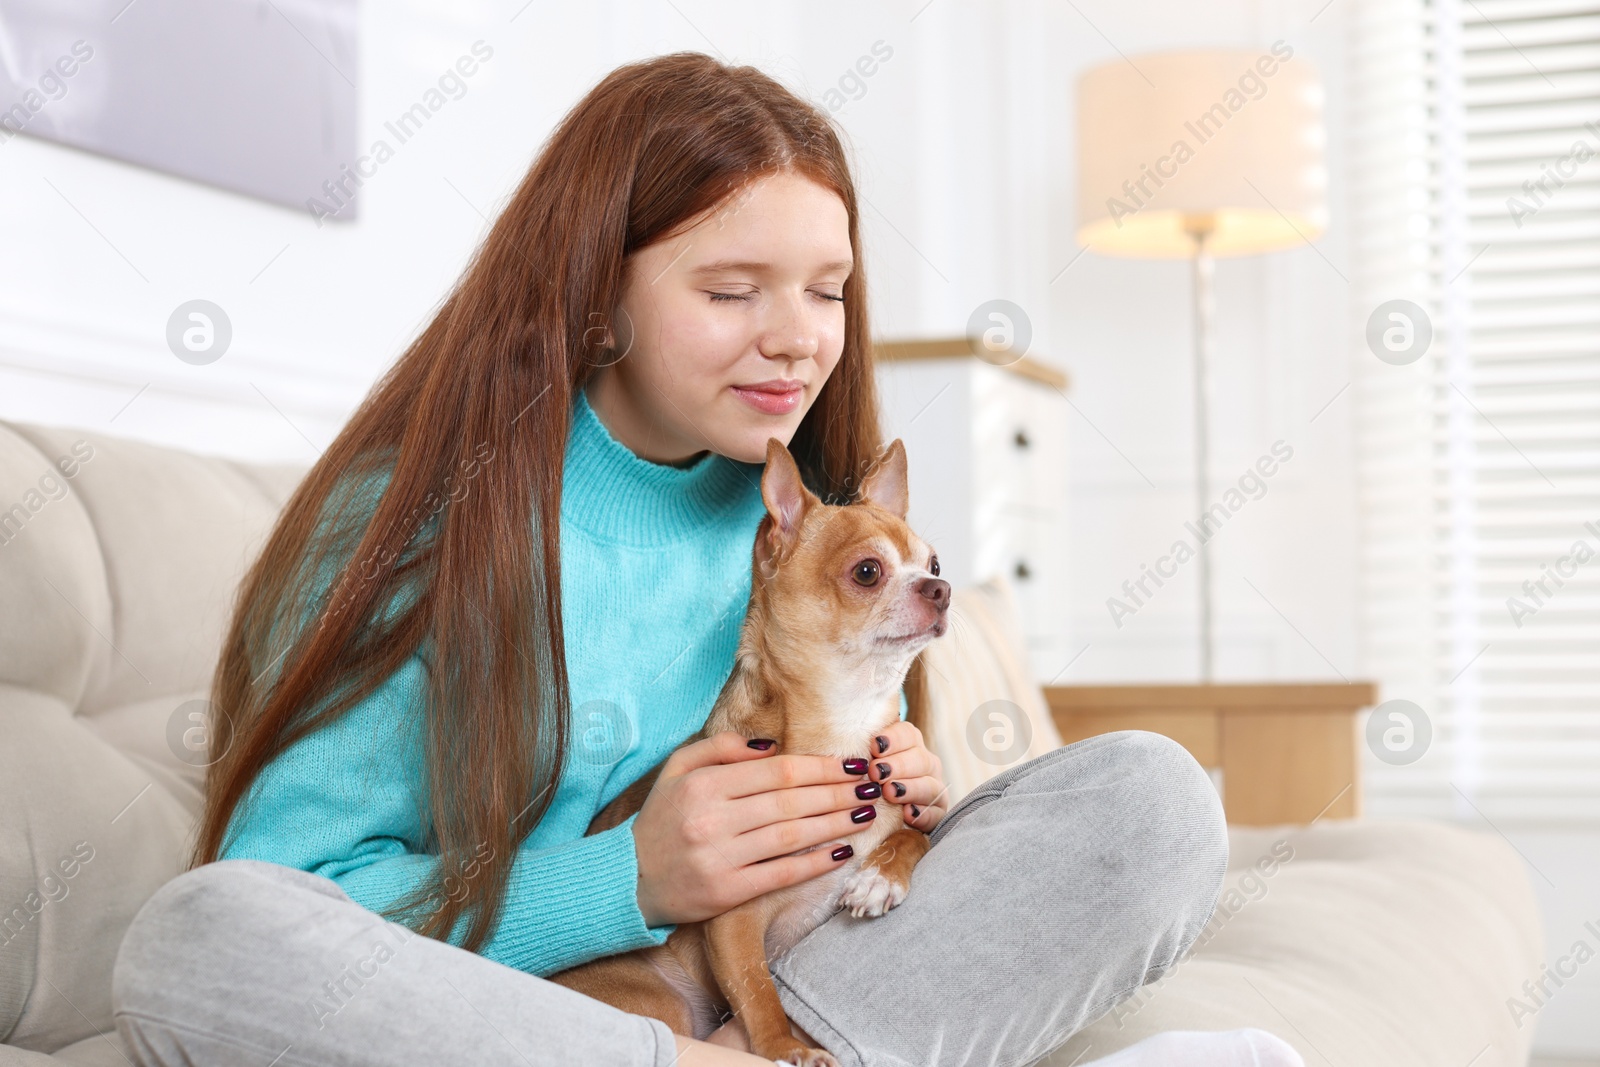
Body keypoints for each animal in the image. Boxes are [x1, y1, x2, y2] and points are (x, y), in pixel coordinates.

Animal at [550, 435, 947, 1067]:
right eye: (867, 572)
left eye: (933, 566)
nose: (942, 589)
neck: (843, 725)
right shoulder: (732, 920)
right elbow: (757, 987)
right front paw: (787, 1047)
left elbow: (915, 834)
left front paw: (879, 878)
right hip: (656, 1000)